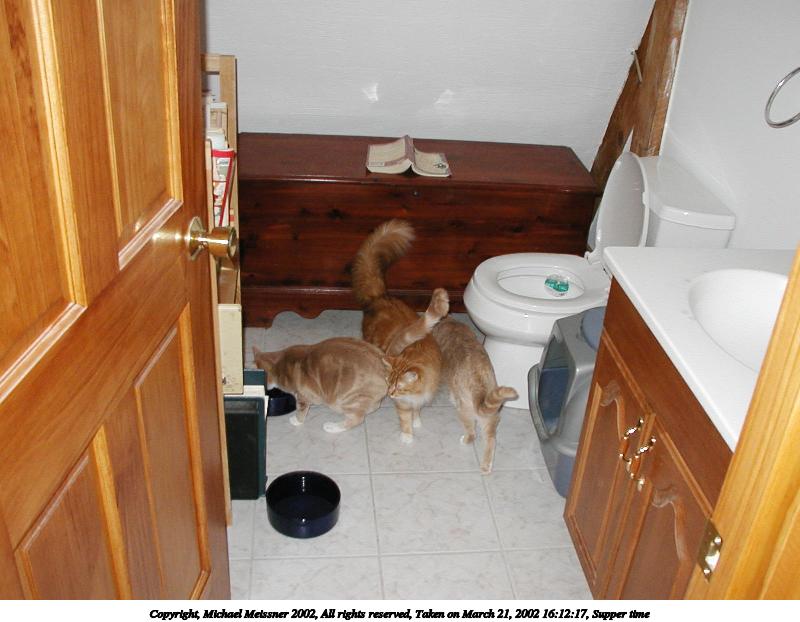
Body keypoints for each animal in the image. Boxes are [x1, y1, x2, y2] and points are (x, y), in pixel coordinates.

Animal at [252, 337, 388, 433]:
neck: (280, 363)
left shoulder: (304, 396)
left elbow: (301, 410)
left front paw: (297, 421)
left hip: (342, 401)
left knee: (357, 419)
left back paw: (332, 427)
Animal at [352, 219, 448, 443]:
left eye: (399, 387)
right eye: (390, 384)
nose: (390, 394)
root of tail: (380, 296)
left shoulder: (420, 397)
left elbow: (417, 410)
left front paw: (417, 421)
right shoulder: (404, 404)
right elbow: (405, 418)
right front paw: (407, 435)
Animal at [432, 317, 518, 474]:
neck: (451, 324)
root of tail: (479, 381)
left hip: (465, 411)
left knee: (472, 434)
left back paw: (466, 440)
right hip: (490, 416)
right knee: (491, 439)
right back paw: (486, 466)